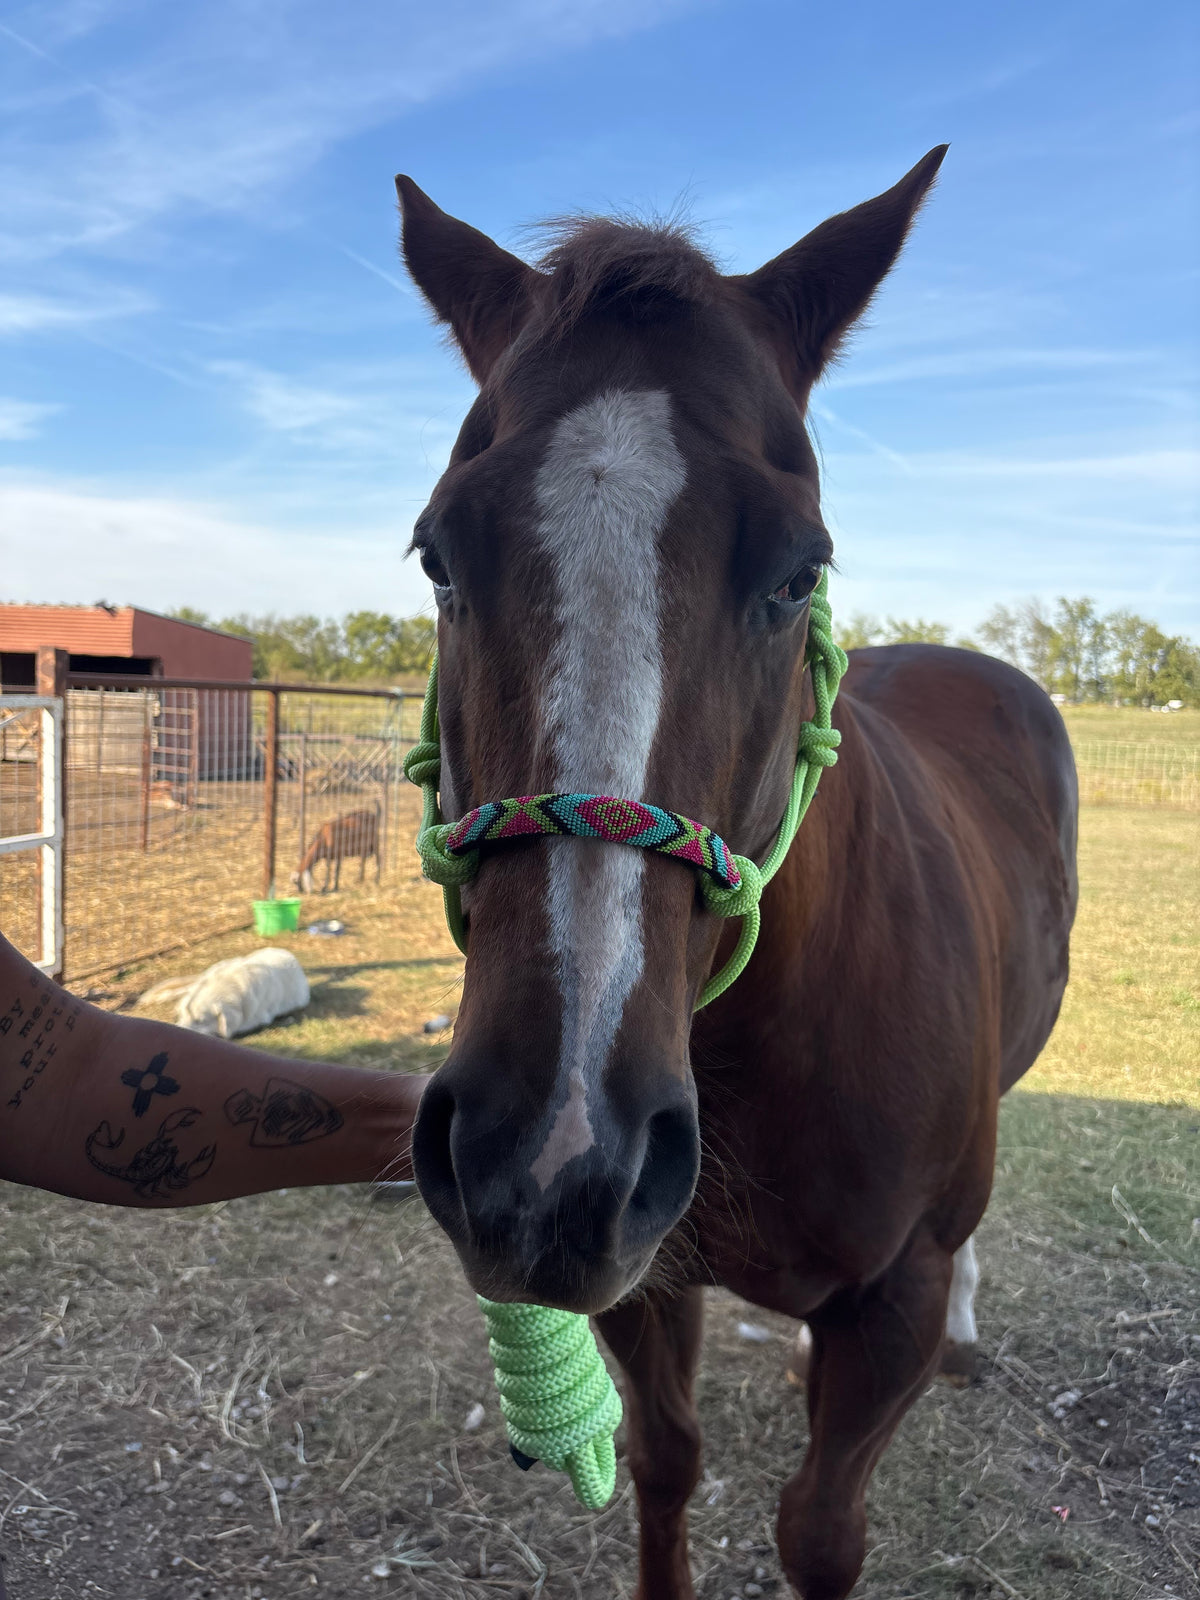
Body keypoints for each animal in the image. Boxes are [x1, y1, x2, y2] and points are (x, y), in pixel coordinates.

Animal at [395, 147, 1079, 1600]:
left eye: (797, 568)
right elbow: (666, 1467)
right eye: (438, 554)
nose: (548, 1153)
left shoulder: (891, 1307)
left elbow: (822, 1529)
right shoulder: (648, 1280)